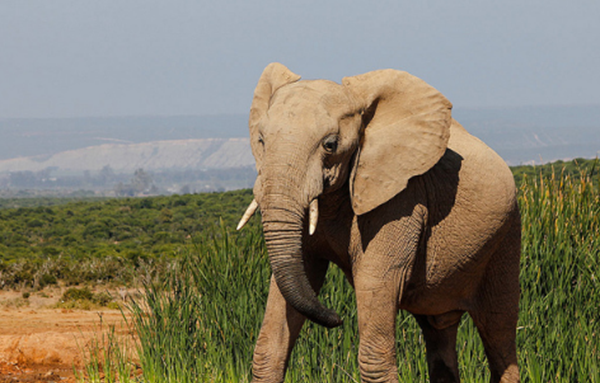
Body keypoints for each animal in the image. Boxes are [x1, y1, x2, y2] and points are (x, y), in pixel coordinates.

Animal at [236, 63, 520, 383]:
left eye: (330, 145)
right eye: (261, 141)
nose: (337, 318)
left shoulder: (401, 199)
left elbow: (375, 289)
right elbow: (281, 318)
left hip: (507, 233)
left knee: (498, 330)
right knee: (439, 331)